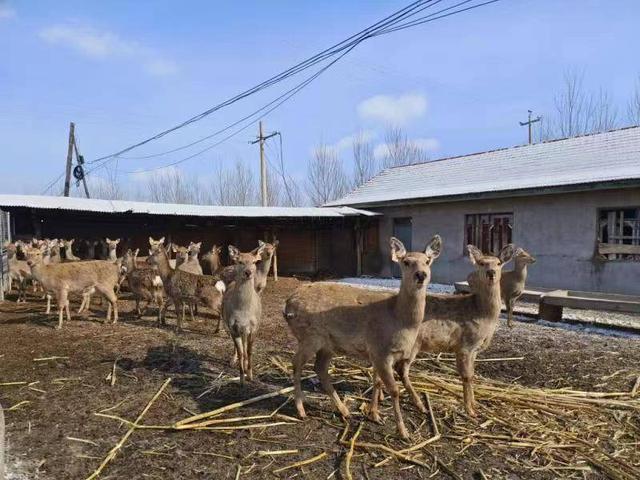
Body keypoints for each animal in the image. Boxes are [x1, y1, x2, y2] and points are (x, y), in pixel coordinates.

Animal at [224, 244, 266, 386]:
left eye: (254, 262)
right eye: (240, 261)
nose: (248, 273)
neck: (243, 312)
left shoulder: (255, 327)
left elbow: (249, 351)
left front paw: (250, 375)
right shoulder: (233, 327)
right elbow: (241, 351)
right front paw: (242, 379)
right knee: (238, 347)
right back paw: (233, 360)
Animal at [284, 235, 440, 438]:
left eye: (427, 261)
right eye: (406, 262)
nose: (421, 275)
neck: (399, 320)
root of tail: (287, 307)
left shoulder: (378, 353)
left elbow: (377, 382)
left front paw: (375, 415)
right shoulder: (381, 350)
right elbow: (394, 390)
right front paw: (403, 431)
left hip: (328, 343)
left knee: (320, 368)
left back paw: (344, 410)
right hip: (309, 336)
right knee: (296, 363)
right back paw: (301, 410)